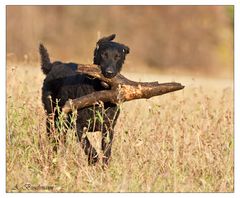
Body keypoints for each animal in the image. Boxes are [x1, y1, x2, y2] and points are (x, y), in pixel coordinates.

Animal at [39, 34, 129, 166]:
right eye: (104, 54)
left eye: (117, 57)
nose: (109, 72)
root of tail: (55, 65)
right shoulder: (78, 127)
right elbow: (89, 147)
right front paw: (93, 161)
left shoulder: (108, 128)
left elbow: (107, 153)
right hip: (52, 118)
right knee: (54, 140)